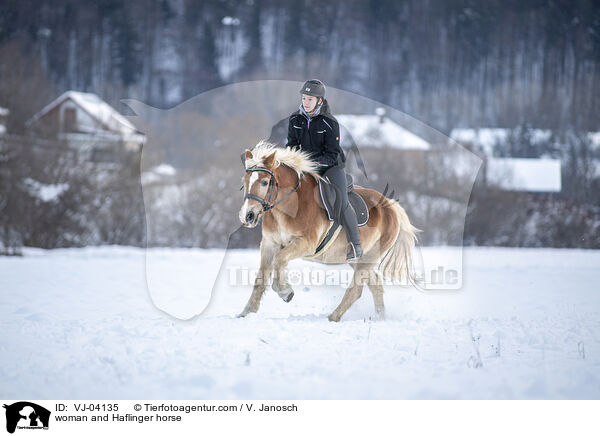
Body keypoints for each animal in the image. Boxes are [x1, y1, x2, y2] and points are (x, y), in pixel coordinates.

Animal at [237, 141, 420, 322]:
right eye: (244, 181)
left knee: (356, 290)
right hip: (358, 259)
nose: (248, 216)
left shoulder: (306, 243)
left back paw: (333, 317)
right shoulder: (269, 243)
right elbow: (260, 279)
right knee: (375, 285)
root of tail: (390, 205)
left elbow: (279, 260)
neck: (289, 206)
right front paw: (246, 313)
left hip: (370, 257)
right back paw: (380, 318)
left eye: (264, 182)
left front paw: (285, 292)